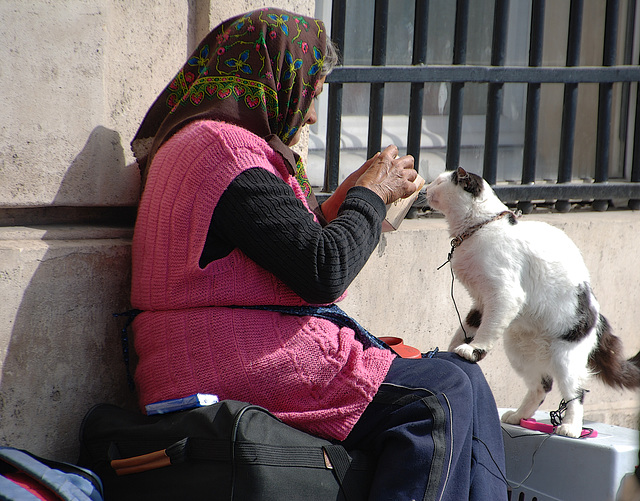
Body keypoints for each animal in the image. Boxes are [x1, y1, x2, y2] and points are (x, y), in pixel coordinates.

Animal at [424, 166, 640, 436]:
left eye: (438, 182)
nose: (425, 189)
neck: (478, 228)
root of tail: (597, 315)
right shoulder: (481, 301)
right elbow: (468, 326)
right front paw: (453, 347)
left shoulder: (504, 295)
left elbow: (486, 330)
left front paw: (473, 350)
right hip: (519, 350)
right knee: (541, 386)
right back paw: (518, 416)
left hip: (565, 358)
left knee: (576, 393)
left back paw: (570, 428)